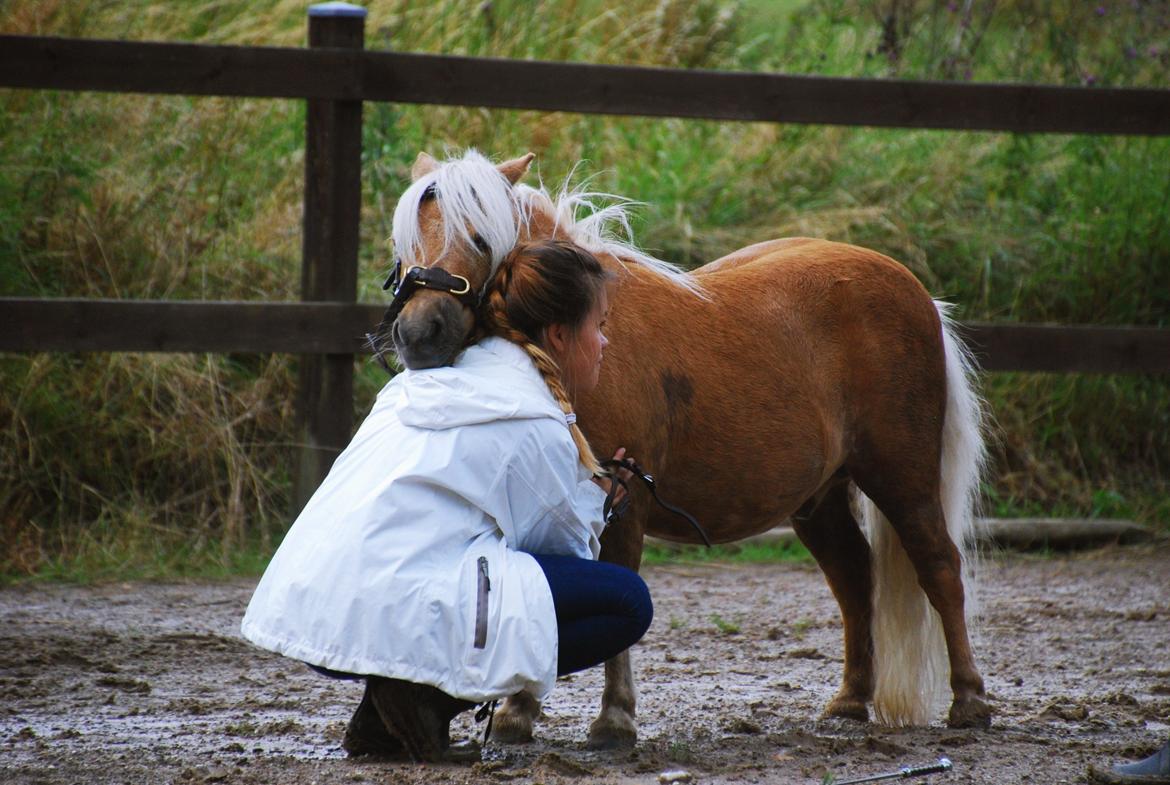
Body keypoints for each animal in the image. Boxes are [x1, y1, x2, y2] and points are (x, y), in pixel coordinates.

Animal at [380, 149, 991, 749]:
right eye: (403, 241)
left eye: (481, 237)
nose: (420, 333)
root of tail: (914, 289)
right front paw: (519, 710)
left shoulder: (623, 505)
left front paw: (615, 717)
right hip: (818, 498)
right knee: (855, 577)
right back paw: (849, 700)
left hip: (903, 477)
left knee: (940, 568)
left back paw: (969, 701)